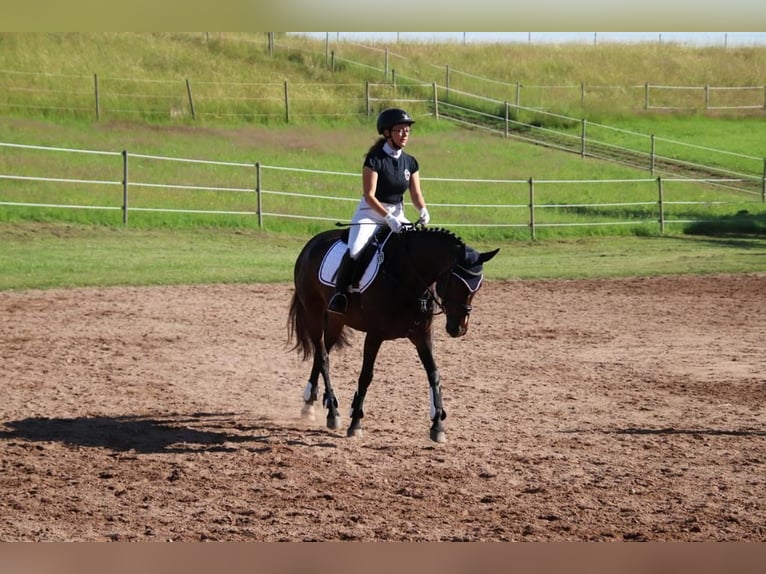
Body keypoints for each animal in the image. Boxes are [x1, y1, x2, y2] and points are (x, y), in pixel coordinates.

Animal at [286, 225, 498, 446]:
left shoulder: (422, 335)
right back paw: (333, 413)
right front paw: (355, 423)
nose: (459, 329)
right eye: (456, 282)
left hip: (336, 321)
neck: (408, 277)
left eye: (478, 286)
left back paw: (309, 405)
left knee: (321, 355)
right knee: (323, 358)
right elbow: (366, 376)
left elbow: (434, 374)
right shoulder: (374, 335)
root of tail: (312, 243)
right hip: (314, 314)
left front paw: (438, 424)